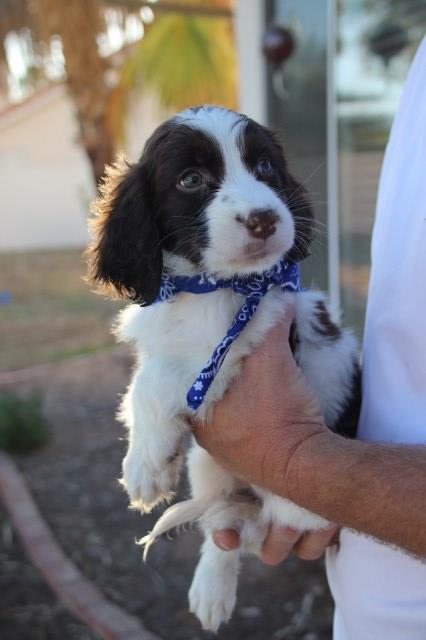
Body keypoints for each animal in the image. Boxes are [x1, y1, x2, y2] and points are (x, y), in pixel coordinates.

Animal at [86, 104, 360, 632]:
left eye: (266, 167)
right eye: (191, 179)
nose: (264, 219)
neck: (208, 287)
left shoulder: (243, 345)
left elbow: (160, 377)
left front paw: (143, 468)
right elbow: (142, 381)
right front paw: (149, 461)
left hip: (304, 507)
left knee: (246, 522)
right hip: (208, 463)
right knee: (223, 528)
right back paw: (210, 591)